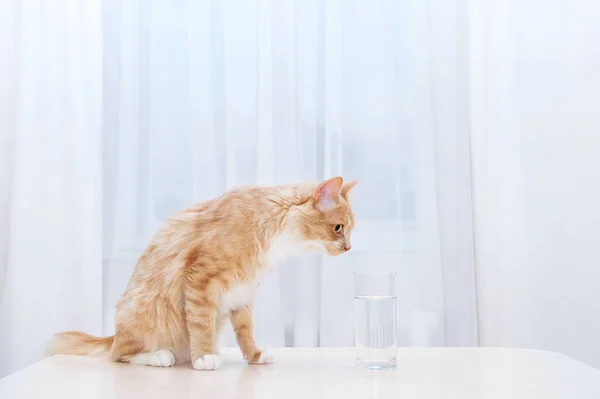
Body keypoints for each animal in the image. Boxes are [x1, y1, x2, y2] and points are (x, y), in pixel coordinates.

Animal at [50, 177, 356, 370]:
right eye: (338, 228)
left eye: (349, 229)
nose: (349, 248)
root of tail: (113, 335)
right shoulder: (200, 278)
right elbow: (200, 325)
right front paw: (204, 357)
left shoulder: (243, 291)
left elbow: (245, 332)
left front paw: (254, 356)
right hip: (145, 313)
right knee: (119, 355)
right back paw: (161, 356)